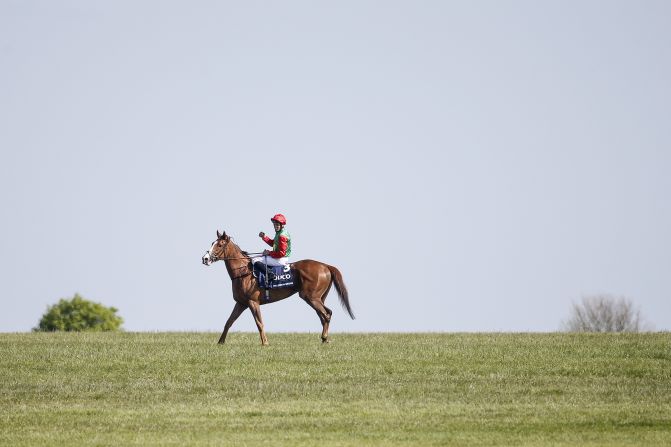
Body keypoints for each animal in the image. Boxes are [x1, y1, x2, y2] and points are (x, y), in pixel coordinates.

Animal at [201, 231, 354, 346]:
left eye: (219, 245)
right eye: (212, 243)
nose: (205, 258)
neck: (243, 272)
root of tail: (326, 266)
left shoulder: (253, 302)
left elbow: (259, 323)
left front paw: (265, 343)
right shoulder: (241, 303)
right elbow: (228, 322)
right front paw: (220, 342)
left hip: (311, 297)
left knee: (326, 314)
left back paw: (324, 337)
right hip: (319, 298)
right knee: (324, 315)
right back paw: (324, 339)